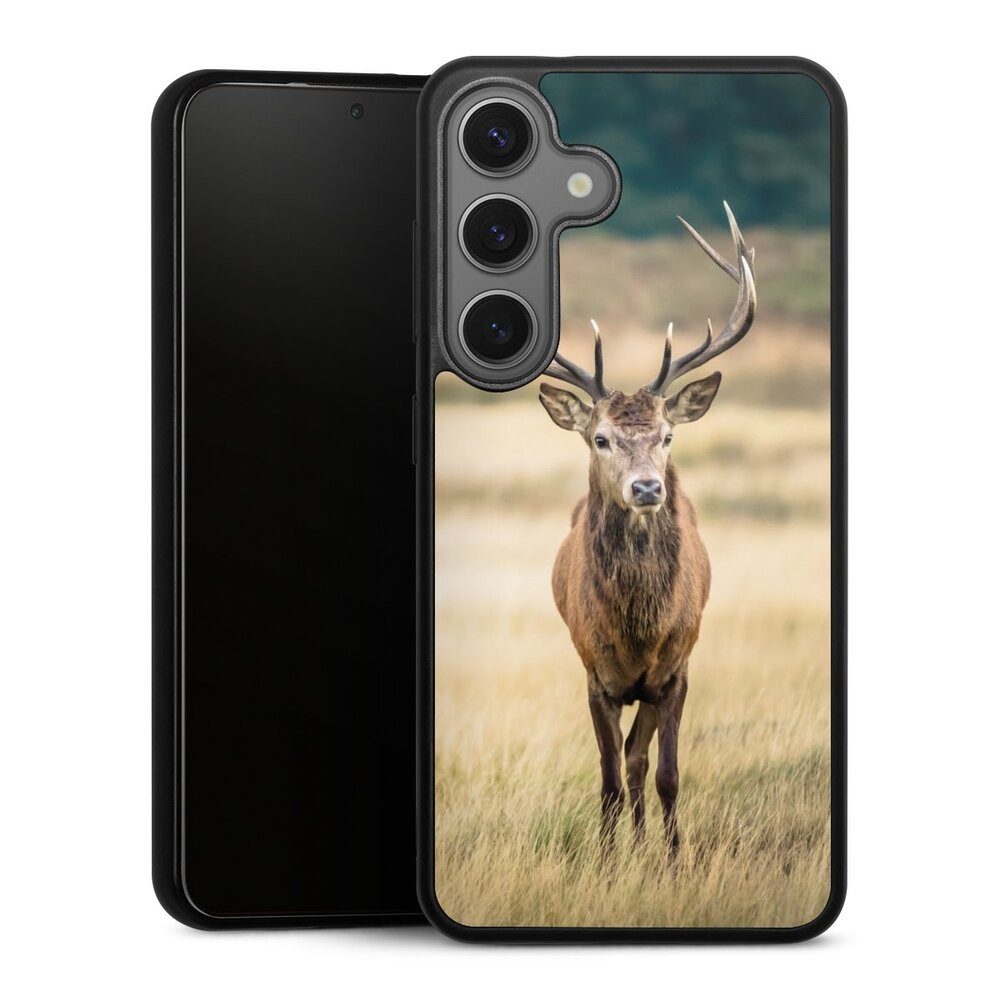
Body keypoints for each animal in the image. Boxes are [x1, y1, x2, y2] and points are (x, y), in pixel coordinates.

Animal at [538, 203, 756, 858]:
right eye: (600, 438)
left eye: (667, 435)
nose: (646, 488)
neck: (637, 628)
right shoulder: (594, 673)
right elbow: (609, 778)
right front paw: (610, 863)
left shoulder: (676, 670)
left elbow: (666, 774)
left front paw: (673, 859)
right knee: (624, 764)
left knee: (640, 760)